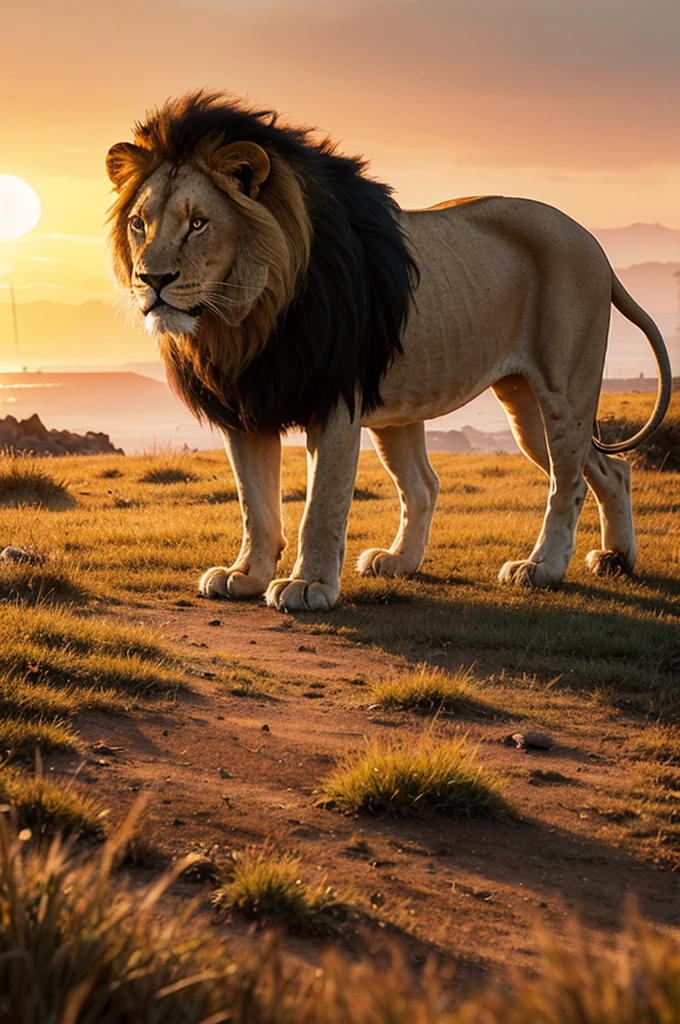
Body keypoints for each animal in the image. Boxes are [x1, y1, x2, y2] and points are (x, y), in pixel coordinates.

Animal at [106, 90, 672, 612]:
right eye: (139, 223)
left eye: (198, 223)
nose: (153, 280)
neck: (243, 317)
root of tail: (594, 243)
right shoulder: (247, 406)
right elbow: (256, 504)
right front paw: (245, 575)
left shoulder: (335, 399)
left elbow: (323, 505)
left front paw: (307, 586)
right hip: (514, 408)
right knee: (574, 472)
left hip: (563, 389)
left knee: (567, 481)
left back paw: (542, 567)